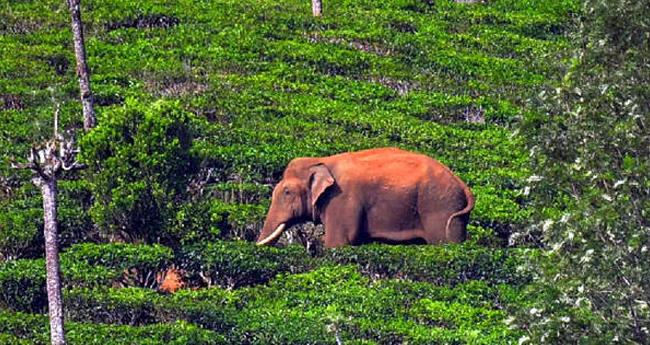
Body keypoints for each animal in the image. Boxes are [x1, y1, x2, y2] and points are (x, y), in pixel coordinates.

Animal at [256, 146, 474, 246]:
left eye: (287, 192)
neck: (321, 160)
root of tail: (464, 186)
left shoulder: (341, 200)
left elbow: (338, 243)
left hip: (440, 207)